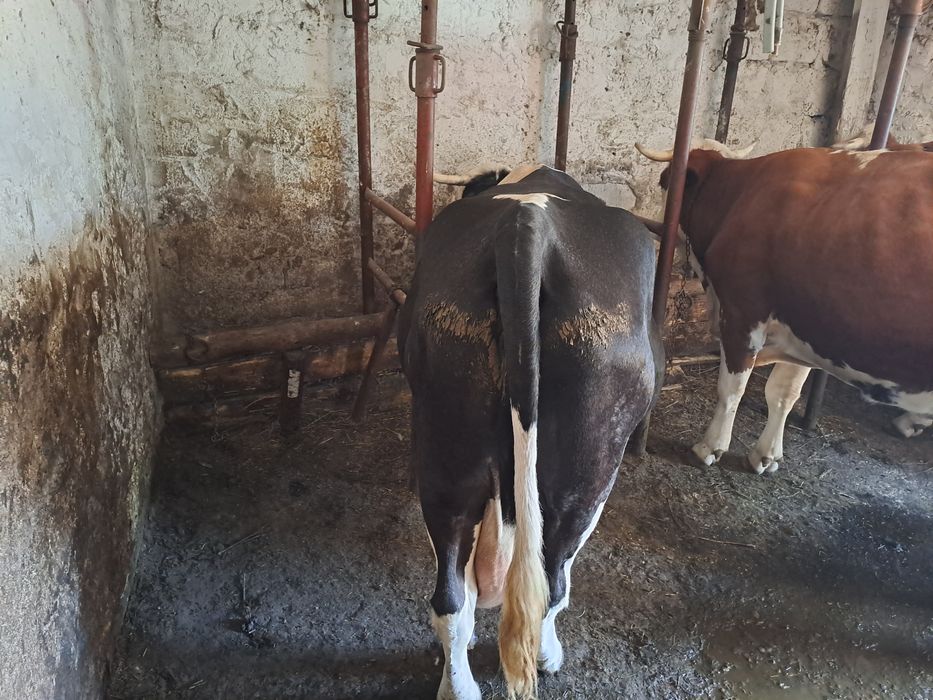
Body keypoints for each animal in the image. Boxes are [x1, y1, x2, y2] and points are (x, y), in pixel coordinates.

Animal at [397, 164, 662, 699]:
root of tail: (526, 222)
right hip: (588, 475)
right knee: (553, 577)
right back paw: (546, 654)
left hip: (447, 459)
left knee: (451, 598)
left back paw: (459, 686)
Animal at [635, 140, 933, 473]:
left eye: (664, 180)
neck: (740, 194)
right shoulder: (806, 327)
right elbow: (783, 392)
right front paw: (766, 454)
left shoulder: (743, 314)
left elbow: (732, 389)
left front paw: (709, 448)